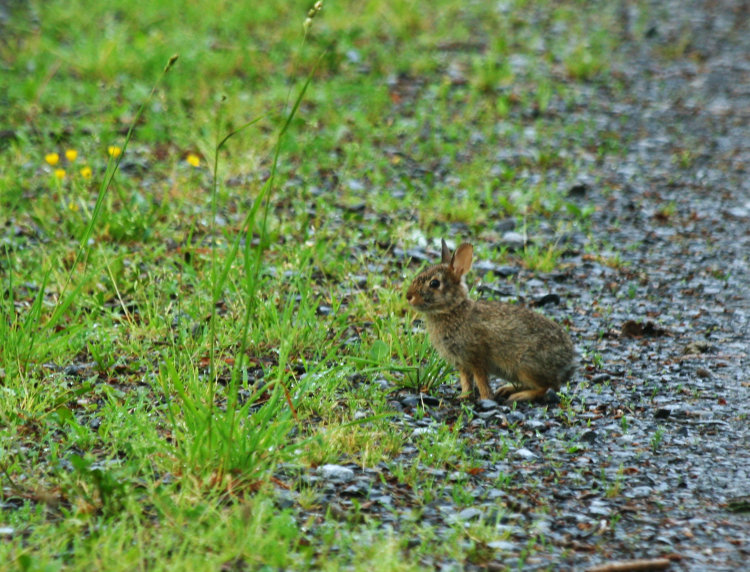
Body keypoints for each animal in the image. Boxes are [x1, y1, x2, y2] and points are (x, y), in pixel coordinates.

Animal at [406, 238, 576, 402]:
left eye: (434, 283)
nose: (408, 296)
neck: (453, 309)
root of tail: (568, 362)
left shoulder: (476, 358)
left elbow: (481, 381)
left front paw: (485, 398)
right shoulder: (463, 364)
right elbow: (466, 381)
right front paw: (464, 397)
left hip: (527, 366)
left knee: (547, 387)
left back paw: (519, 396)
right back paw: (506, 389)